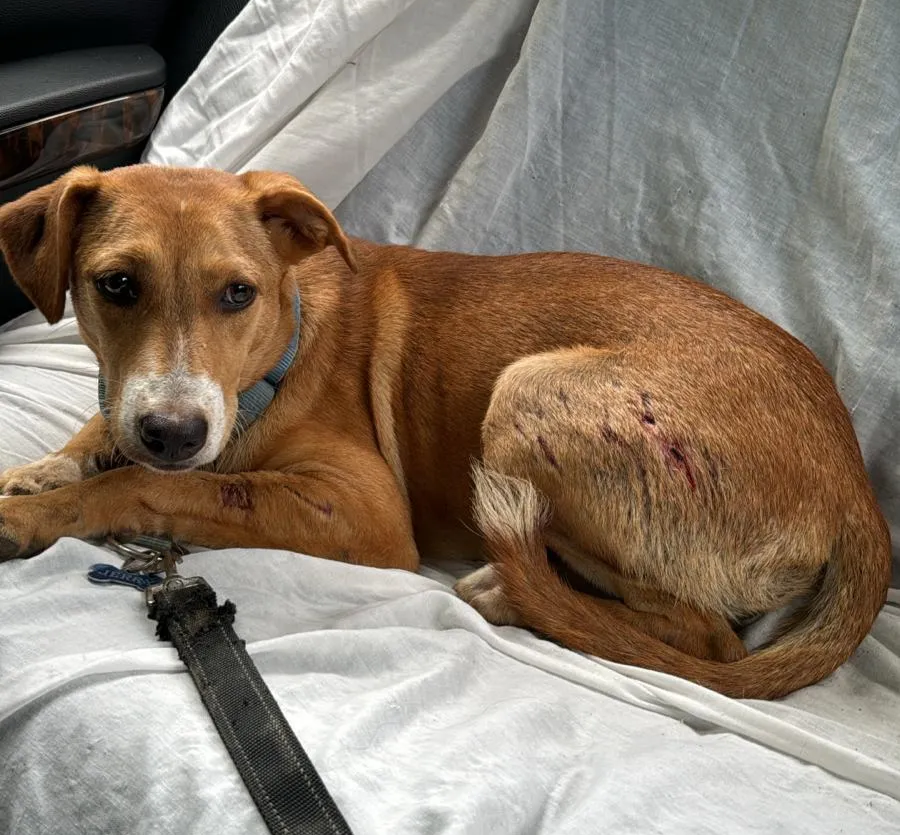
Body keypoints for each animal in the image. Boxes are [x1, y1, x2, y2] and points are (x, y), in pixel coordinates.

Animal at [0, 165, 890, 699]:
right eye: (117, 284)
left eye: (237, 294)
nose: (175, 431)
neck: (278, 356)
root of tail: (858, 490)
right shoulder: (137, 410)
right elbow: (101, 435)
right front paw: (40, 473)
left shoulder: (364, 511)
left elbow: (147, 483)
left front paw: (33, 514)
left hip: (531, 392)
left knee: (711, 637)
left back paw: (516, 592)